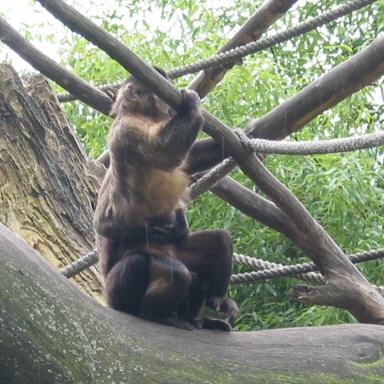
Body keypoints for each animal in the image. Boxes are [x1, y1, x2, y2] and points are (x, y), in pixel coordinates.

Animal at [94, 68, 237, 330]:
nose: (171, 110)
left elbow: (188, 158)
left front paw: (248, 134)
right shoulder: (127, 128)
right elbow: (165, 150)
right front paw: (192, 104)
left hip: (177, 253)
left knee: (217, 242)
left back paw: (209, 307)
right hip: (114, 292)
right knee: (160, 267)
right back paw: (152, 314)